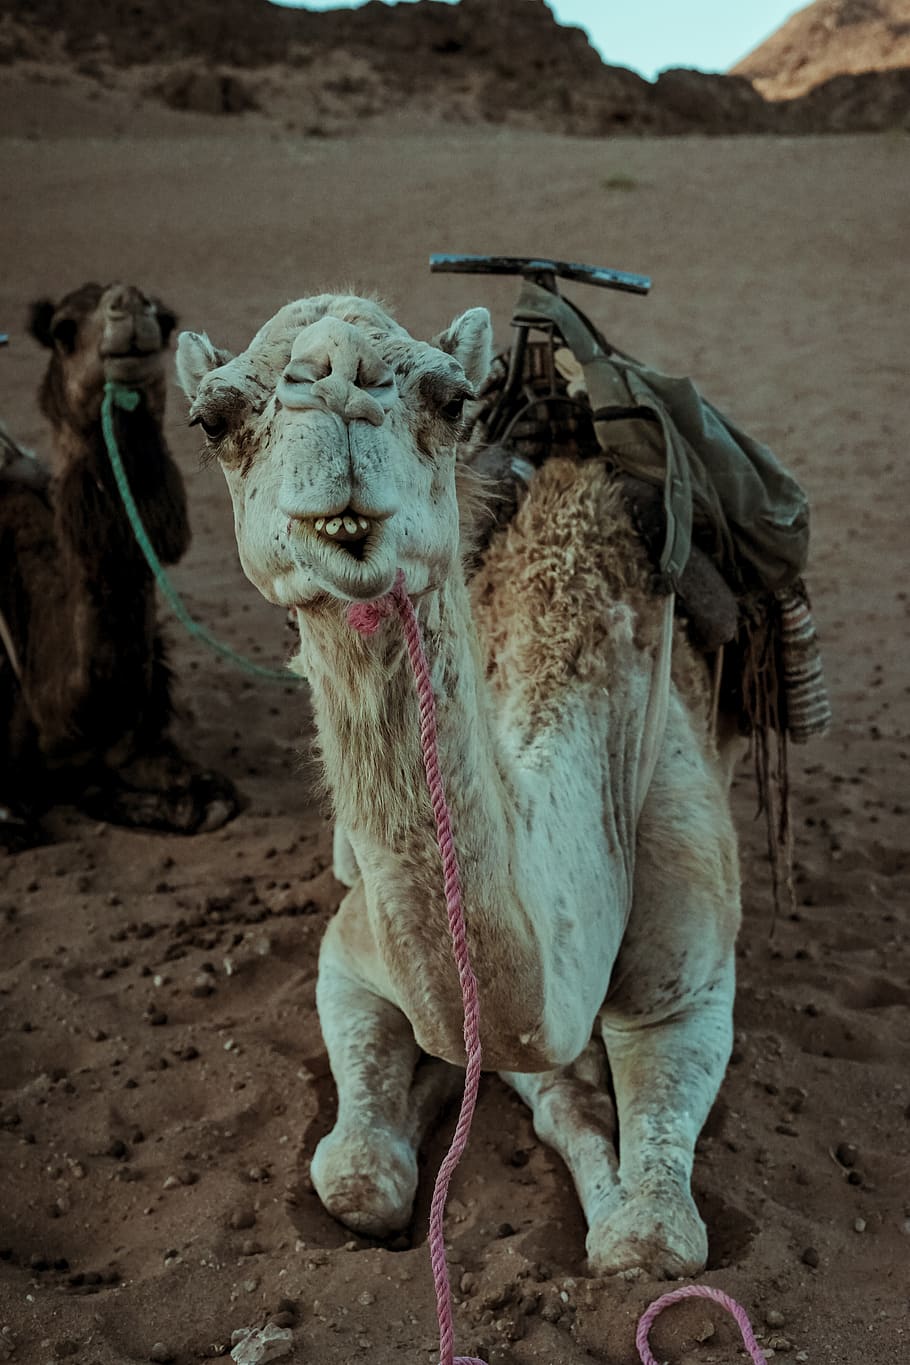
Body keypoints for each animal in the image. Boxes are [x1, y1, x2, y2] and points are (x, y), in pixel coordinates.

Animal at [0, 281, 238, 849]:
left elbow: (210, 801)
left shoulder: (134, 742)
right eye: (63, 329)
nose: (128, 304)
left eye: (166, 321)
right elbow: (18, 824)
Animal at [176, 293, 742, 1277]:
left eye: (450, 398)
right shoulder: (351, 952)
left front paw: (617, 1203)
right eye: (212, 419)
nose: (338, 379)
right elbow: (357, 1175)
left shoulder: (693, 983)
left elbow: (654, 1235)